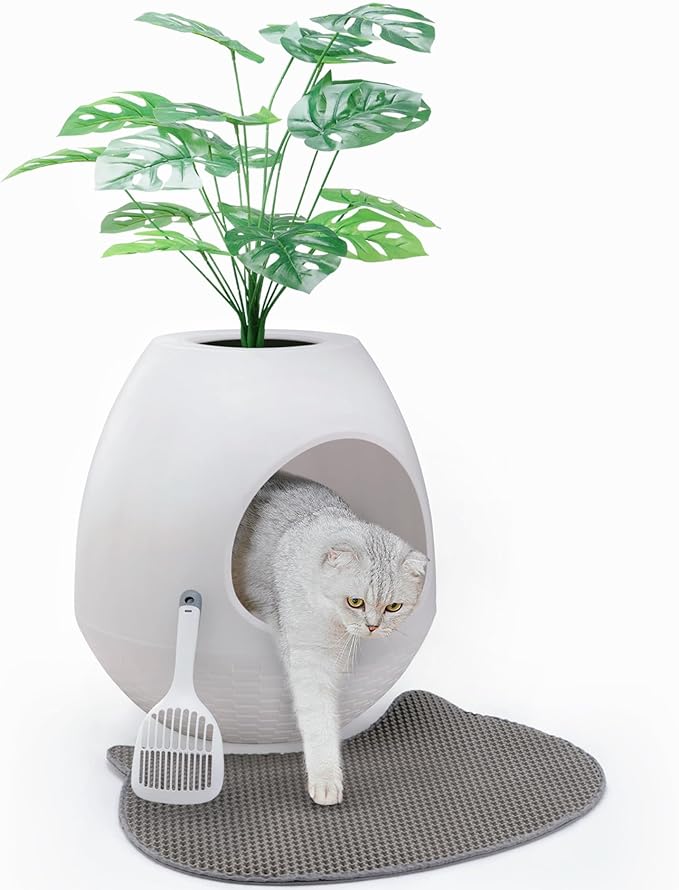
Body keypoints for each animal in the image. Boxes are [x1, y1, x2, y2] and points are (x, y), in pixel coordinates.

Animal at [232, 471, 428, 806]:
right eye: (355, 602)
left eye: (393, 607)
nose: (373, 627)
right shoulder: (309, 660)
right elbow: (319, 722)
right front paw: (325, 781)